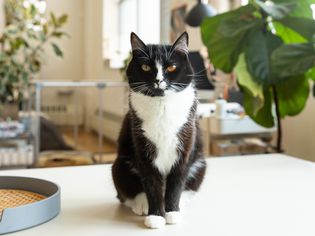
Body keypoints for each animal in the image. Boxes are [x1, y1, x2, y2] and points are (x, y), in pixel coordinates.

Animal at [111, 31, 207, 229]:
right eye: (146, 67)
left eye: (171, 67)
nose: (158, 80)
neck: (162, 104)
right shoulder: (142, 148)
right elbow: (151, 183)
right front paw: (155, 216)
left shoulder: (185, 147)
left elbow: (176, 184)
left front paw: (172, 212)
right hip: (120, 166)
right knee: (126, 193)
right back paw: (141, 204)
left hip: (201, 163)